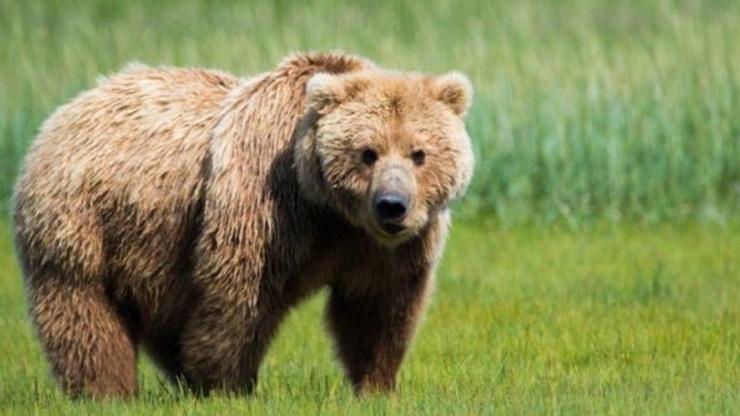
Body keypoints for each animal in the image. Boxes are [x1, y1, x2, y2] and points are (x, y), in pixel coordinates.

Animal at [13, 52, 474, 396]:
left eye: (419, 153)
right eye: (367, 152)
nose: (392, 206)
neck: (329, 208)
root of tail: (62, 113)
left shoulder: (381, 247)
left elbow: (377, 306)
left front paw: (375, 384)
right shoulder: (266, 202)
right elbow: (240, 293)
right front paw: (228, 384)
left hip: (153, 249)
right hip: (81, 221)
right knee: (84, 315)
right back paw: (108, 391)